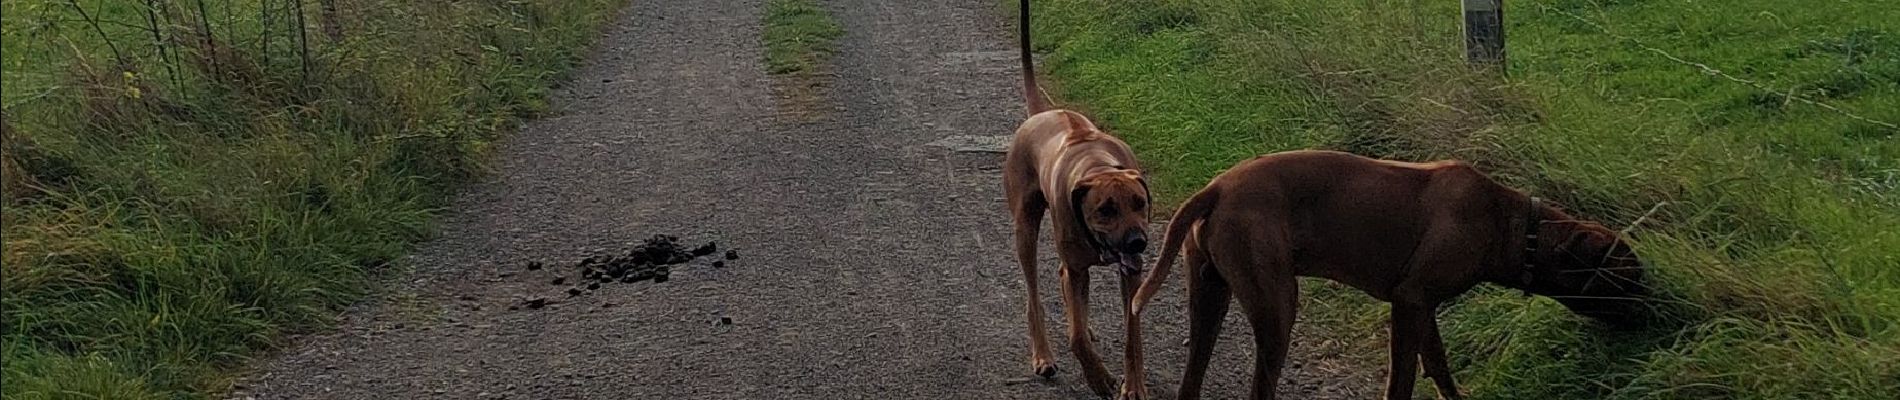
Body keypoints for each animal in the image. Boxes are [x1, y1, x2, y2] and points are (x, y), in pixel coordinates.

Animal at [1010, 1, 1155, 398]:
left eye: (1140, 203)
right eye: (1106, 209)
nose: (1138, 241)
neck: (1096, 164)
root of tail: (1042, 112)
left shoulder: (1131, 271)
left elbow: (1132, 336)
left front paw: (1133, 385)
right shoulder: (1079, 266)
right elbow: (1075, 336)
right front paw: (1099, 377)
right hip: (1024, 225)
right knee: (1034, 297)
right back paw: (1044, 355)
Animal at [1124, 149, 1649, 400]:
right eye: (1628, 280)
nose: (1652, 315)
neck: (1515, 227)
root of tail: (1216, 187)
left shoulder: (1423, 307)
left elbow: (1438, 366)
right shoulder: (1411, 300)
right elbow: (1402, 379)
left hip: (1209, 297)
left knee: (1193, 379)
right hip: (1277, 305)